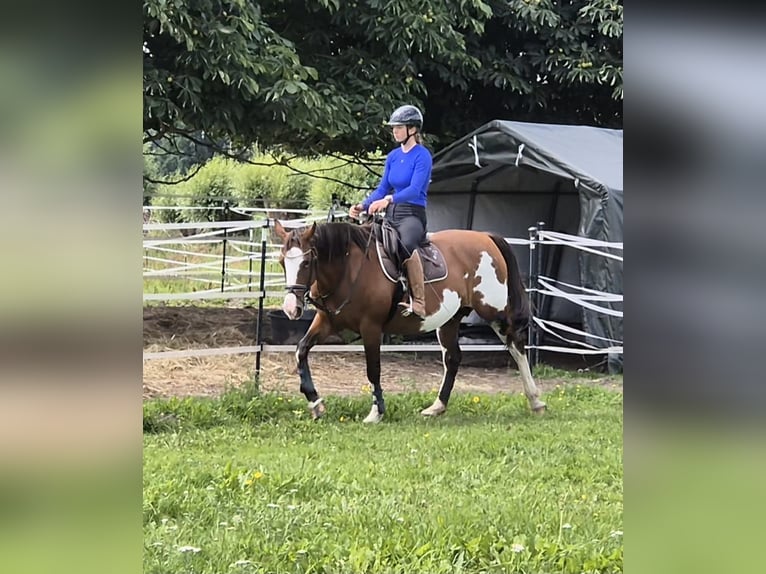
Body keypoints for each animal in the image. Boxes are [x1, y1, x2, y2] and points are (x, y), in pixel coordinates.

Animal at [273, 219, 546, 423]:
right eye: (282, 261)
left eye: (307, 262)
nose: (291, 308)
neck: (350, 269)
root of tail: (485, 238)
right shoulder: (326, 322)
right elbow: (301, 351)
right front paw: (316, 403)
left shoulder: (371, 327)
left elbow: (373, 369)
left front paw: (376, 412)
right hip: (450, 319)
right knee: (453, 358)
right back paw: (437, 406)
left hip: (493, 311)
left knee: (516, 345)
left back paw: (535, 400)